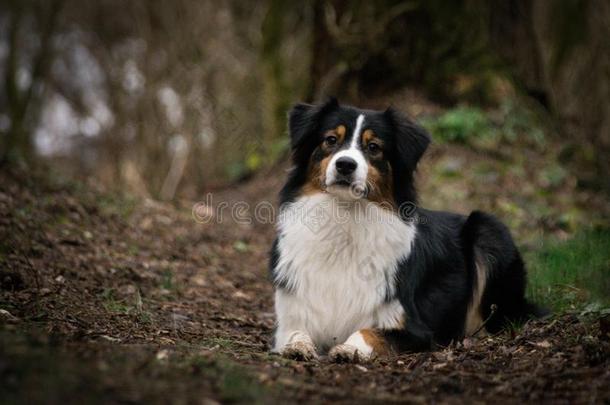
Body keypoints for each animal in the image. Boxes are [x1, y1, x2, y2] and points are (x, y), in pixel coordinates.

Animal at [268, 97, 544, 360]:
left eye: (374, 147)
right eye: (331, 140)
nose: (345, 164)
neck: (345, 219)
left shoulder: (415, 329)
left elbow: (366, 331)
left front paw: (347, 349)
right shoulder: (292, 316)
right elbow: (295, 332)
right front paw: (297, 346)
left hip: (489, 229)